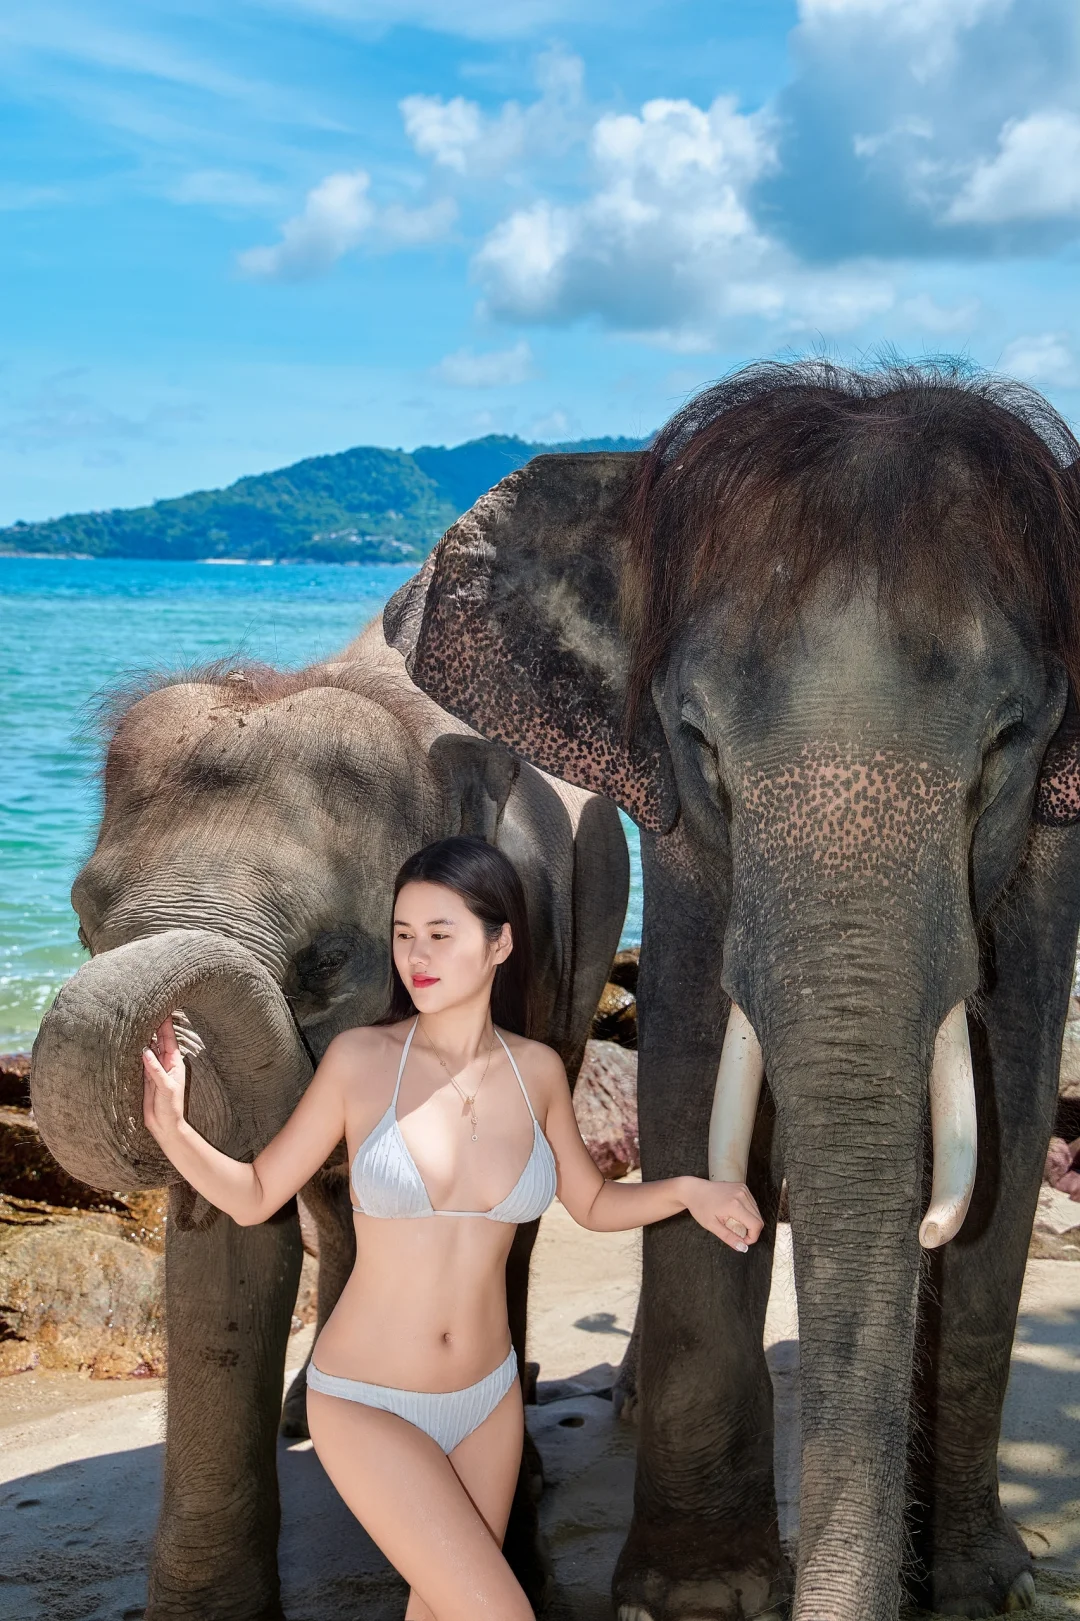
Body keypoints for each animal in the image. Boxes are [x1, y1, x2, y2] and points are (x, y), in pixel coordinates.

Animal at [385, 359, 1080, 1621]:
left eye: (1006, 745)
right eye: (701, 744)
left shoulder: (1052, 837)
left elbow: (1010, 1094)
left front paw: (981, 1589)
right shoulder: (678, 828)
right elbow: (694, 1063)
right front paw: (696, 1597)